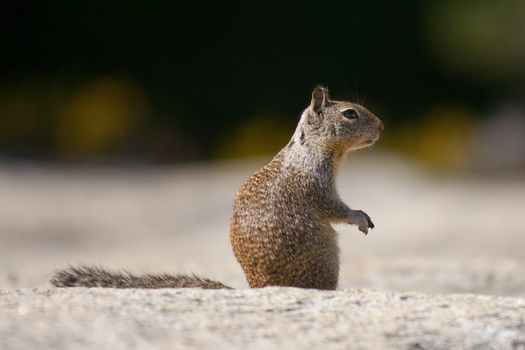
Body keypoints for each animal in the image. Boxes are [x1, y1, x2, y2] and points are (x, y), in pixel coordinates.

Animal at [51, 87, 382, 290]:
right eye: (350, 113)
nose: (380, 127)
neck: (311, 147)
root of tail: (256, 289)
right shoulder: (317, 181)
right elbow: (333, 207)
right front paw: (359, 217)